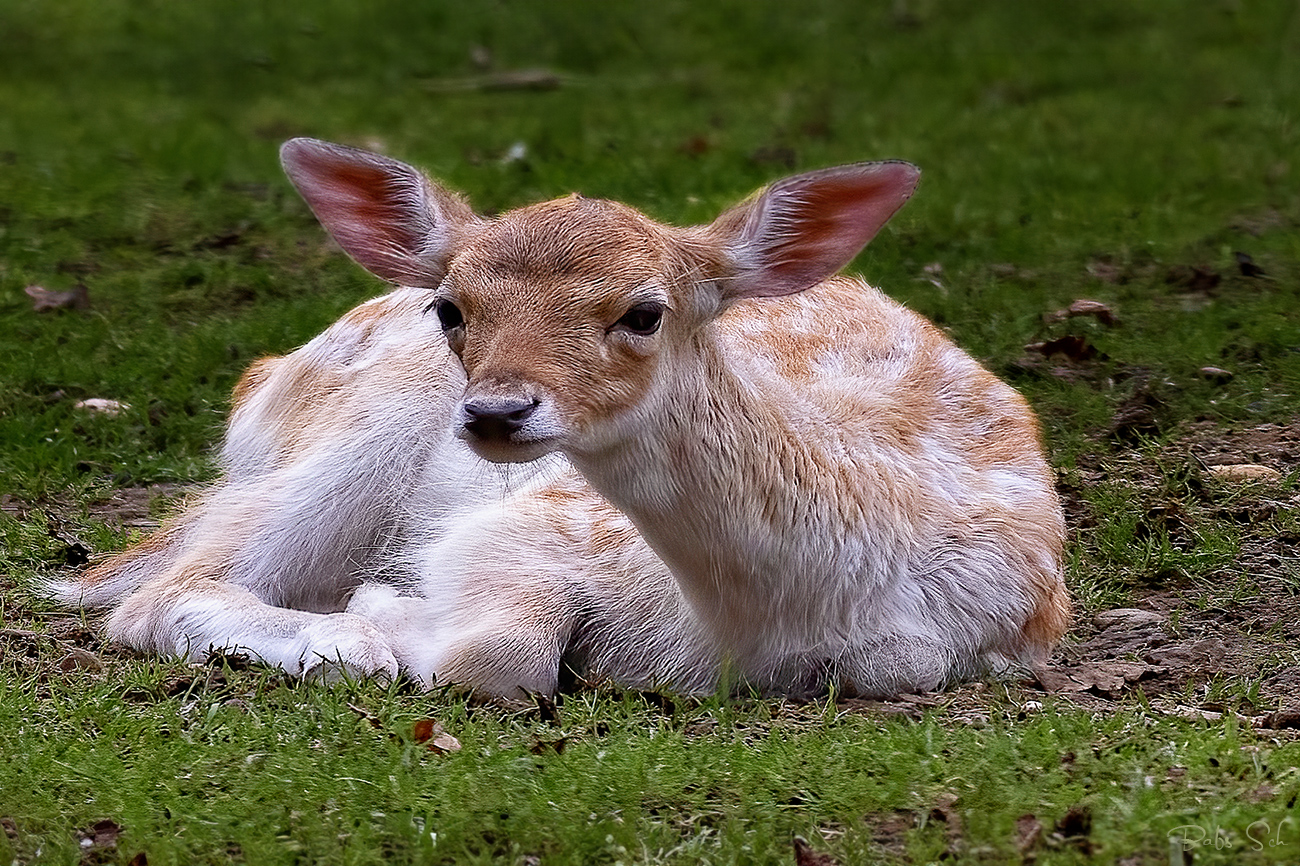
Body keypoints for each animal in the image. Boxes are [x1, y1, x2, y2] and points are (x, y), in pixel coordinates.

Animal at [53, 138, 1066, 696]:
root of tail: (260, 382)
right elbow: (494, 656)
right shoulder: (528, 523)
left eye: (644, 312)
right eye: (451, 308)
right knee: (159, 592)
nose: (497, 408)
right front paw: (381, 617)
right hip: (357, 430)